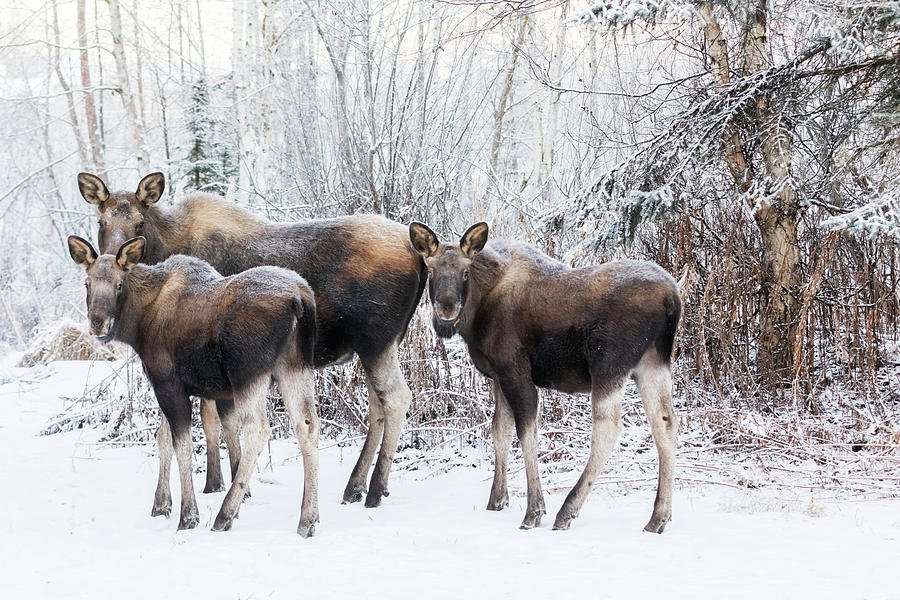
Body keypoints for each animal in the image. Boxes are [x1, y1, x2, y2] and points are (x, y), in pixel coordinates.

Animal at [67, 234, 320, 536]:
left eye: (119, 284)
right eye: (87, 282)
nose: (98, 323)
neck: (138, 325)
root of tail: (299, 299)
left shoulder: (168, 383)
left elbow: (182, 446)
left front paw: (188, 515)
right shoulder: (171, 387)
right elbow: (163, 439)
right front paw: (161, 504)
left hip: (248, 374)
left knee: (258, 430)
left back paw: (224, 515)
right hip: (294, 367)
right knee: (308, 426)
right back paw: (308, 519)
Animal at [78, 171, 426, 512]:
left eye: (140, 222)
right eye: (101, 221)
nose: (113, 256)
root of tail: (420, 257)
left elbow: (201, 425)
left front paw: (214, 489)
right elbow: (189, 428)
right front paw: (208, 487)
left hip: (375, 341)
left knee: (396, 398)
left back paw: (374, 489)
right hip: (376, 346)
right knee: (376, 404)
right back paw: (355, 485)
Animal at [410, 223, 684, 532]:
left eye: (465, 271)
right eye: (431, 269)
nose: (446, 309)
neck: (476, 313)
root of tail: (672, 299)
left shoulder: (515, 370)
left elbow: (527, 434)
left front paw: (534, 510)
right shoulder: (498, 377)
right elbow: (500, 431)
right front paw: (496, 500)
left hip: (608, 364)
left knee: (608, 428)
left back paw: (567, 510)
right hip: (652, 364)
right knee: (666, 423)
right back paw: (658, 517)